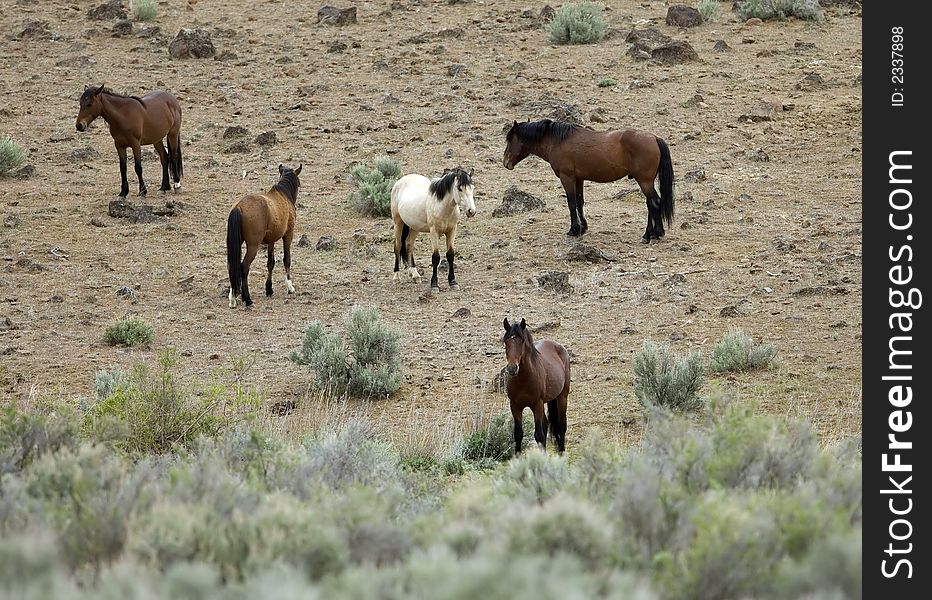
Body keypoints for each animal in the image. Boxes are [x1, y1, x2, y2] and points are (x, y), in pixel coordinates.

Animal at [226, 164, 302, 310]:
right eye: (299, 183)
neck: (283, 195)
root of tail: (239, 207)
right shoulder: (288, 235)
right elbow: (287, 260)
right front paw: (290, 287)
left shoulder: (271, 241)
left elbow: (270, 263)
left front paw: (269, 289)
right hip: (253, 246)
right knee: (244, 266)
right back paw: (247, 299)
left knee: (232, 266)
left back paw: (233, 299)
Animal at [502, 119, 676, 241]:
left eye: (510, 139)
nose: (505, 162)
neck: (558, 141)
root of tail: (654, 138)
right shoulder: (578, 179)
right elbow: (579, 202)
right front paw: (583, 228)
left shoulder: (567, 177)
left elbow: (571, 203)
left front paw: (574, 230)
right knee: (651, 204)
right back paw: (652, 233)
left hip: (644, 181)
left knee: (654, 203)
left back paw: (652, 235)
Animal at [502, 316, 568, 452]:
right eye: (506, 342)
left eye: (522, 341)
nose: (512, 368)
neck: (523, 380)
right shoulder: (515, 406)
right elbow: (518, 434)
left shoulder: (536, 404)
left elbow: (539, 435)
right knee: (548, 424)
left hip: (562, 396)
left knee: (561, 425)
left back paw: (562, 452)